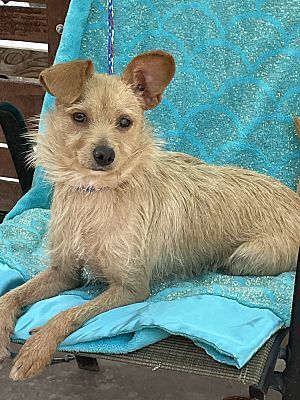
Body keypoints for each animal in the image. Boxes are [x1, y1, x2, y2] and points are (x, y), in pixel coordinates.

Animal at [0, 51, 300, 380]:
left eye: (125, 122)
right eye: (79, 117)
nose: (104, 154)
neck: (96, 195)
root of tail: (295, 198)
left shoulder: (131, 288)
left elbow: (69, 312)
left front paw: (37, 348)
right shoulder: (64, 273)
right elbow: (12, 295)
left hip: (245, 257)